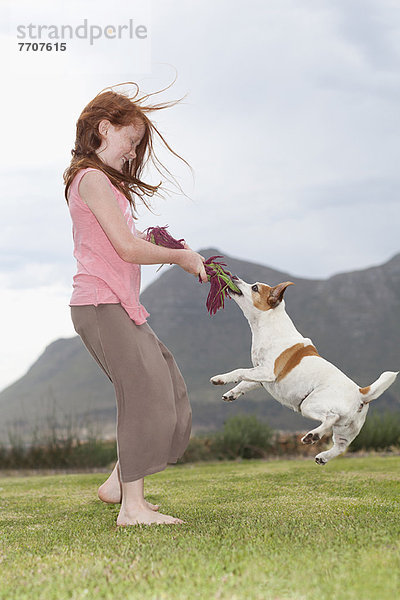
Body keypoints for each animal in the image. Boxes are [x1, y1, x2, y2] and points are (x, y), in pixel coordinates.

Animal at [209, 280, 396, 464]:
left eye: (255, 287)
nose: (234, 277)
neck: (269, 326)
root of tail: (361, 393)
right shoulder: (260, 377)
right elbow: (244, 383)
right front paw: (231, 393)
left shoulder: (267, 372)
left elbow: (239, 371)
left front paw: (220, 379)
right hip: (346, 429)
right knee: (340, 446)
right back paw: (322, 455)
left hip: (309, 405)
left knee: (331, 417)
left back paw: (313, 436)